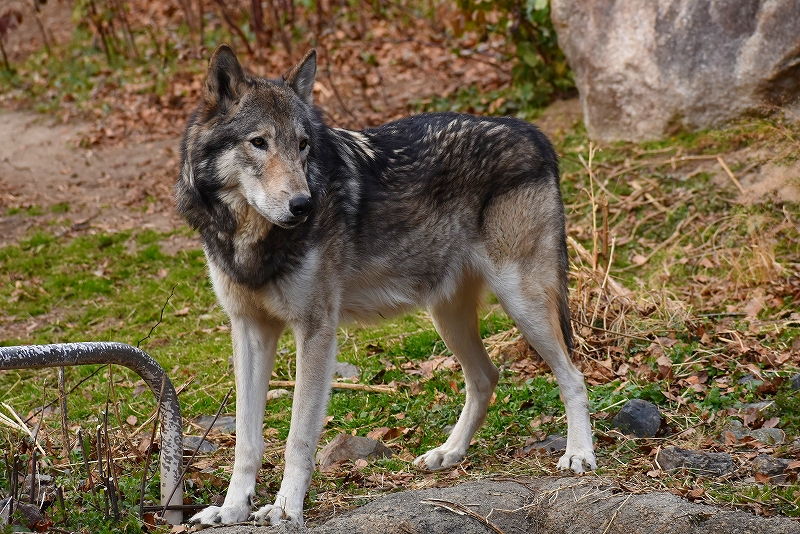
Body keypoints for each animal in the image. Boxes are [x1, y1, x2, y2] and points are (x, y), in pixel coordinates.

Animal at [178, 45, 596, 528]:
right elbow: (247, 440)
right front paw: (231, 510)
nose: (304, 205)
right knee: (486, 377)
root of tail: (533, 132)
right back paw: (449, 453)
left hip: (521, 301)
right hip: (447, 316)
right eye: (259, 142)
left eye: (302, 145)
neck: (251, 240)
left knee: (572, 375)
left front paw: (285, 509)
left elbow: (298, 438)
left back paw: (579, 455)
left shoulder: (316, 329)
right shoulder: (249, 330)